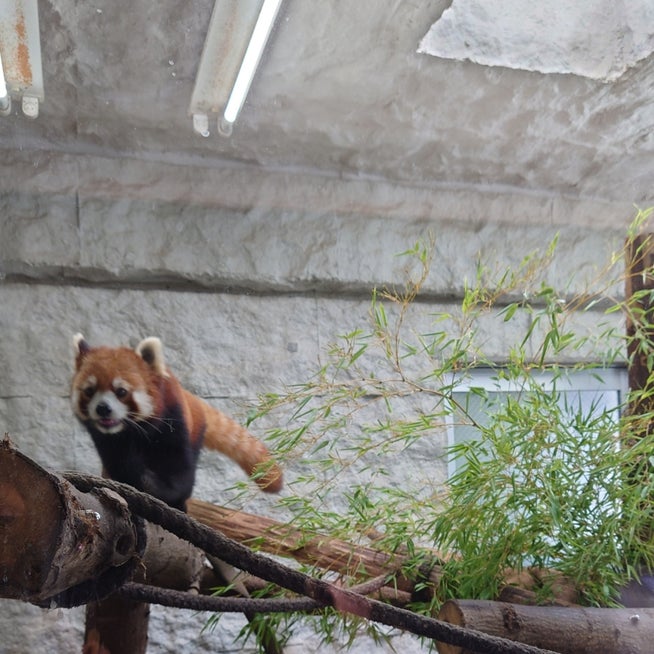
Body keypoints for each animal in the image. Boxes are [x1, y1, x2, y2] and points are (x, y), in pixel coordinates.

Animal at [70, 336, 284, 516]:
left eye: (121, 391)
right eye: (89, 391)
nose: (102, 408)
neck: (133, 431)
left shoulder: (172, 421)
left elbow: (179, 470)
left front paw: (167, 494)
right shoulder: (108, 441)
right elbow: (121, 463)